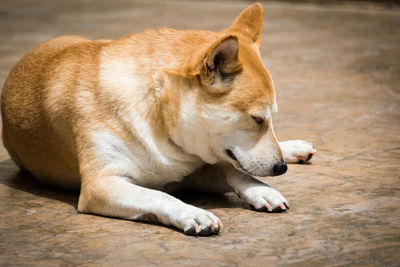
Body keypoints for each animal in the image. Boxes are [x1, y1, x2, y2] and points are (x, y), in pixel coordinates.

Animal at [2, 3, 316, 236]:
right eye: (256, 119)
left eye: (270, 118)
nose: (281, 168)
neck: (158, 118)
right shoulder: (100, 186)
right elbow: (159, 196)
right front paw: (192, 212)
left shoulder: (195, 169)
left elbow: (234, 170)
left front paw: (261, 190)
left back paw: (294, 148)